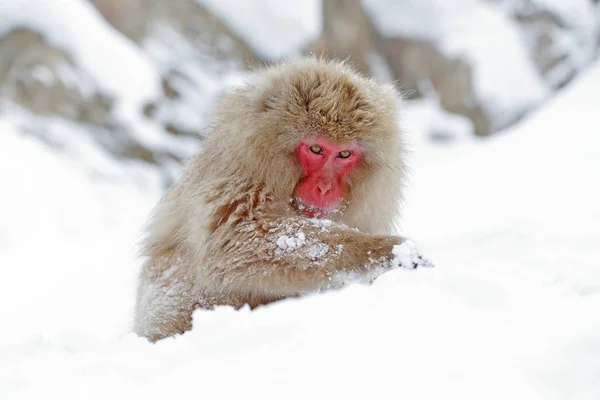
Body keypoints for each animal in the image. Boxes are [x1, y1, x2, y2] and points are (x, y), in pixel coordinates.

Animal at [132, 57, 432, 342]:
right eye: (316, 149)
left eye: (344, 154)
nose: (324, 188)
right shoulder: (240, 161)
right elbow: (236, 237)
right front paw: (387, 251)